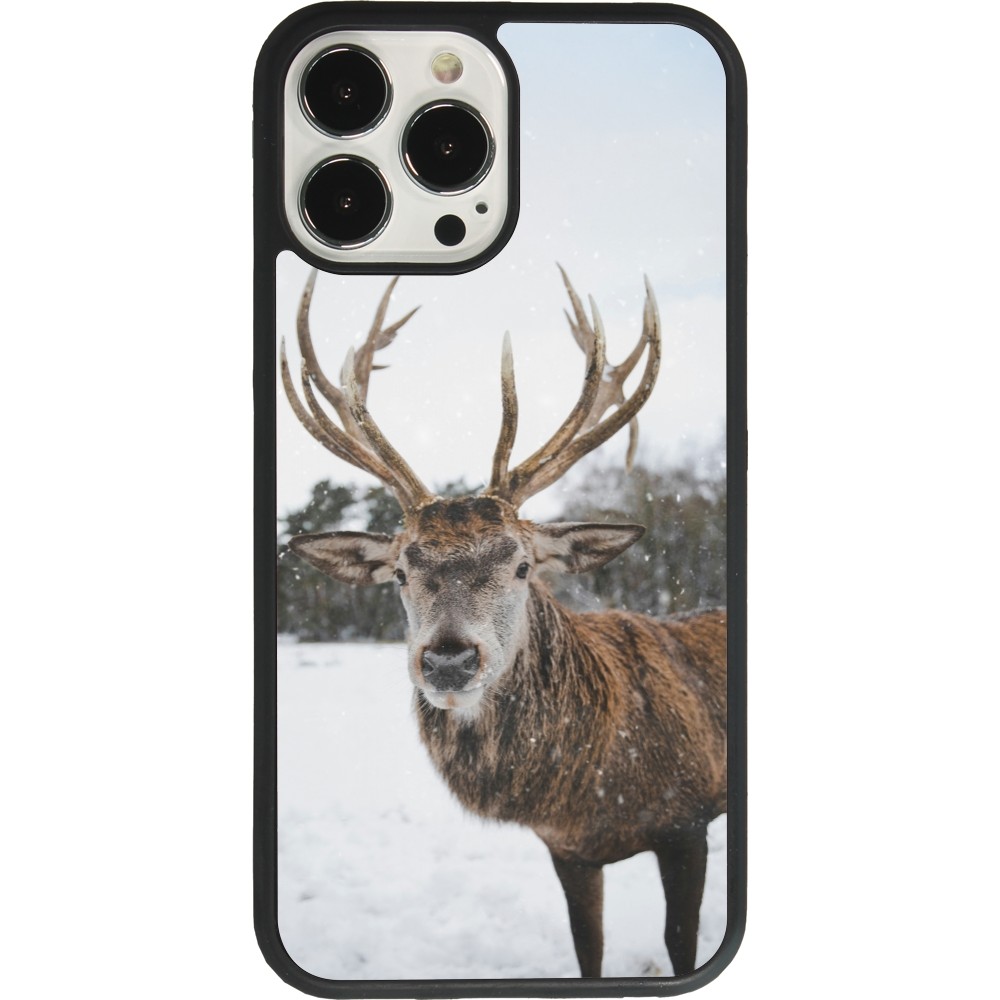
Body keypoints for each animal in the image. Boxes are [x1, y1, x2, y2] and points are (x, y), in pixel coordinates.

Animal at [279, 268, 727, 978]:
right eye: (400, 572)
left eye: (521, 565)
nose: (448, 659)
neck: (593, 790)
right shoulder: (567, 850)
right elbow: (588, 950)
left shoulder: (689, 821)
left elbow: (680, 945)